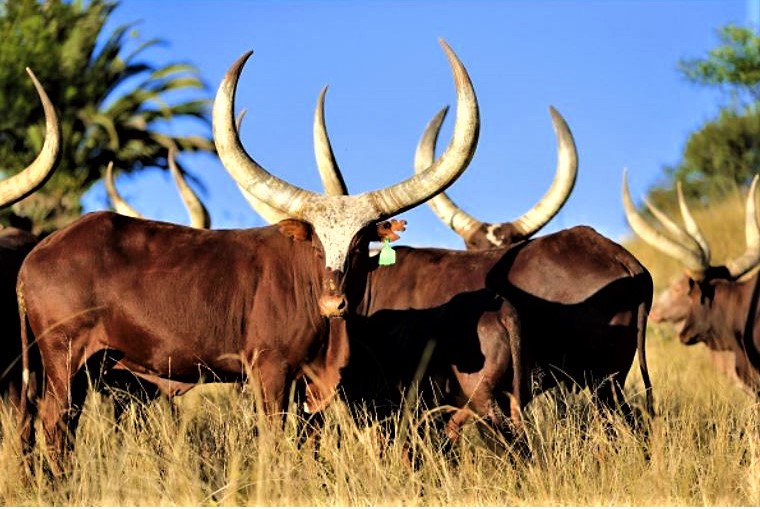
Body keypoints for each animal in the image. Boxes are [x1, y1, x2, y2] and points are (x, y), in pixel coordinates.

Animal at [17, 40, 480, 473]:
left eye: (361, 242)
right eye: (315, 243)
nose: (334, 302)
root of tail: (39, 252)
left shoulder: (308, 384)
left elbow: (307, 444)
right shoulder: (269, 371)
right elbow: (274, 440)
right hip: (64, 359)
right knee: (55, 423)